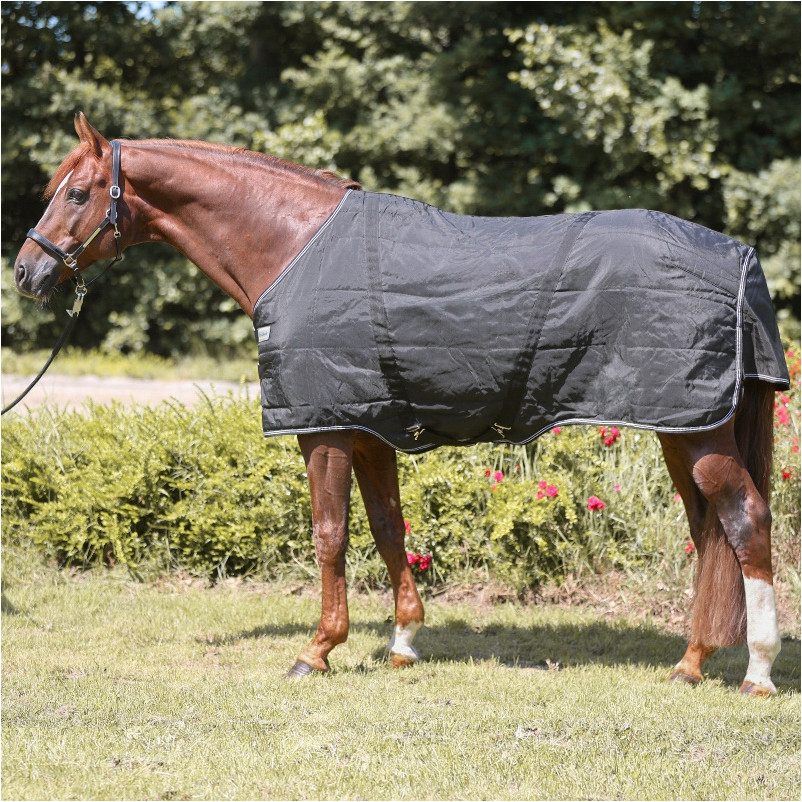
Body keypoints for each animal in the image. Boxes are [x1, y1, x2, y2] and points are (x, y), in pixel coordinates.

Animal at [13, 113, 790, 695]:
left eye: (77, 193)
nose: (26, 271)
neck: (292, 244)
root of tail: (739, 258)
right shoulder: (369, 429)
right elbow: (389, 528)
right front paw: (403, 642)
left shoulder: (323, 428)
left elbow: (329, 534)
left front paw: (316, 650)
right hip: (680, 425)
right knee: (709, 532)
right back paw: (691, 662)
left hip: (695, 430)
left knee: (745, 521)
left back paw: (757, 671)